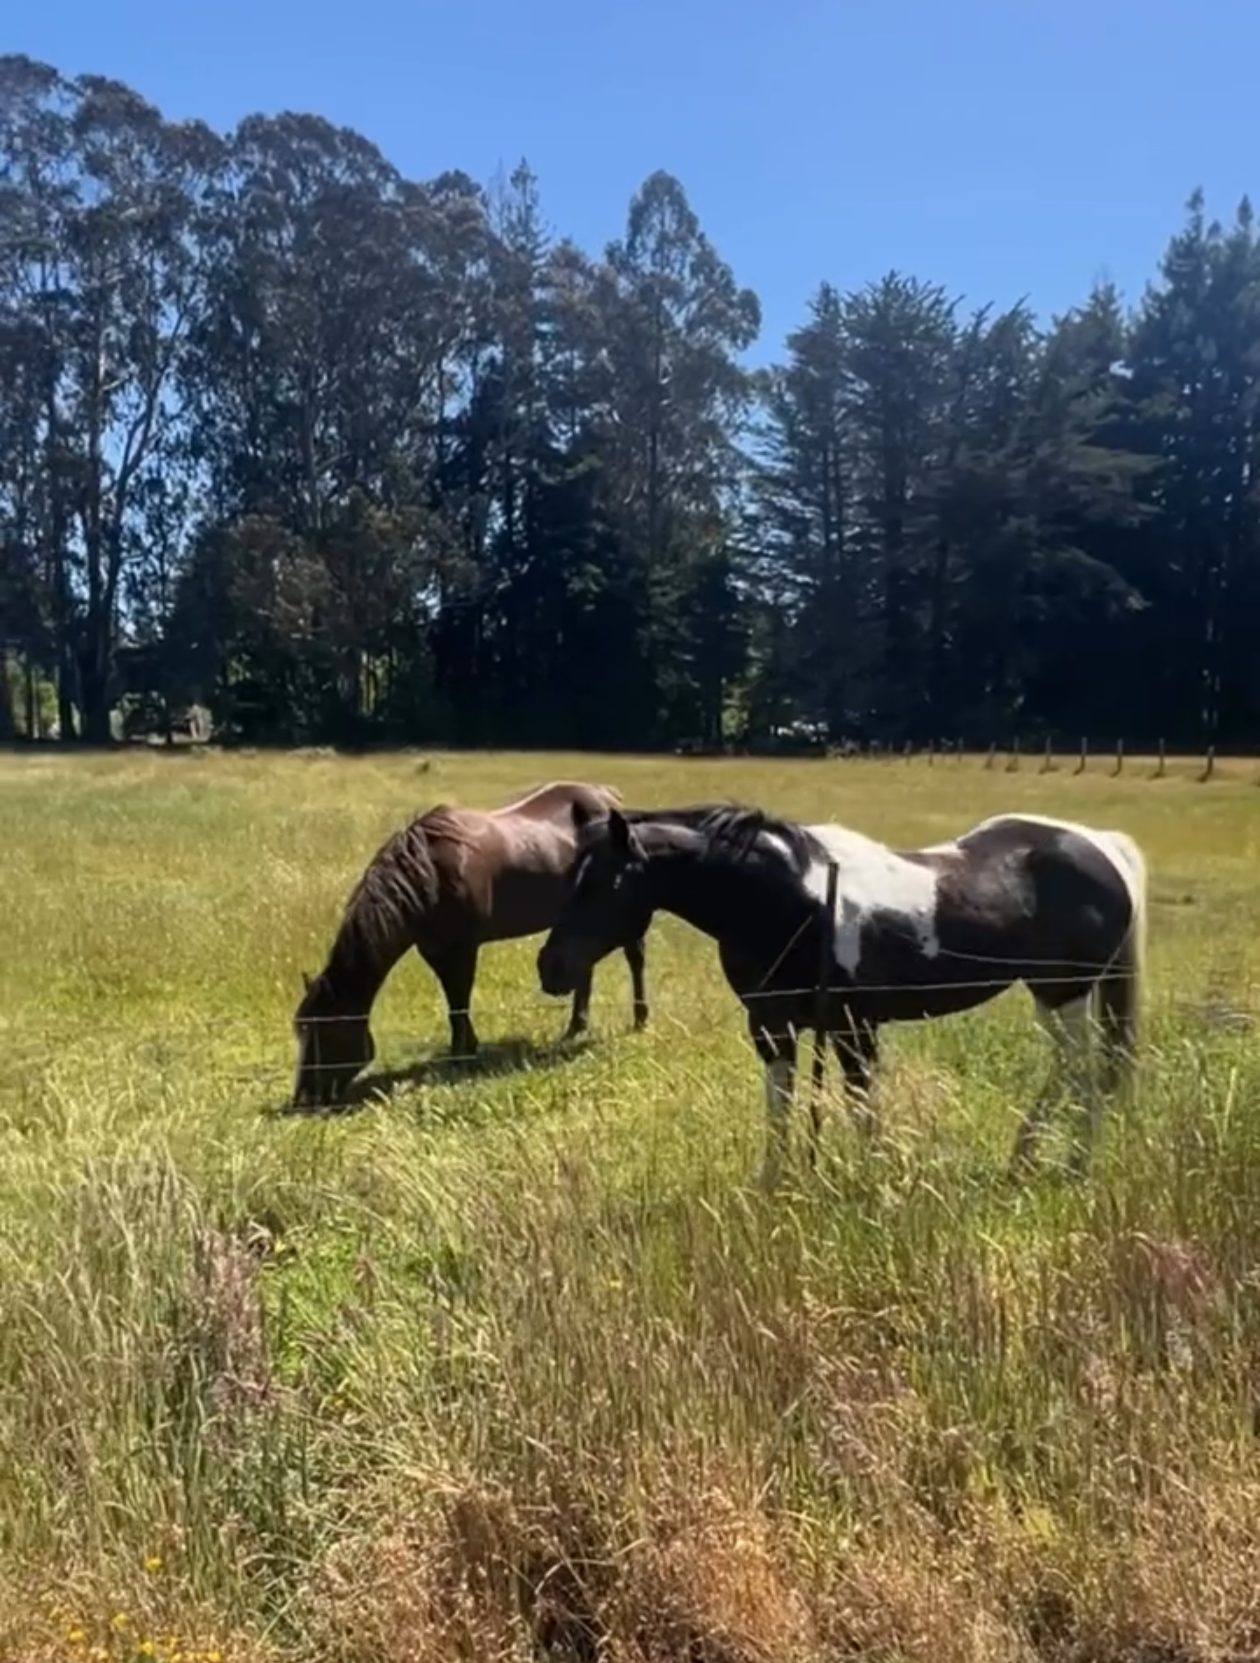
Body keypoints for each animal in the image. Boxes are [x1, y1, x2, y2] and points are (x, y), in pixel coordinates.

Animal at [290, 781, 652, 1108]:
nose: (304, 1098)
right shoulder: (435, 951)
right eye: (302, 1032)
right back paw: (576, 1026)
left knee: (635, 958)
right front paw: (466, 1047)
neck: (430, 875)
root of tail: (608, 796)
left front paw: (461, 1055)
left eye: (326, 1034)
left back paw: (639, 1019)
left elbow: (459, 1001)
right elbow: (453, 1004)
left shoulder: (463, 949)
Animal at [536, 801, 1148, 1187]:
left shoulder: (855, 1027)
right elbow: (780, 1107)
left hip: (1067, 993)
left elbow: (859, 1107)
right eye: (572, 877)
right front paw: (774, 1184)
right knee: (1071, 1068)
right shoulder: (772, 1028)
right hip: (1051, 996)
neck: (797, 900)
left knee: (1084, 1070)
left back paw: (1072, 1165)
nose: (550, 968)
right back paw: (1025, 1158)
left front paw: (873, 1182)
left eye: (607, 882)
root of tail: (1101, 846)